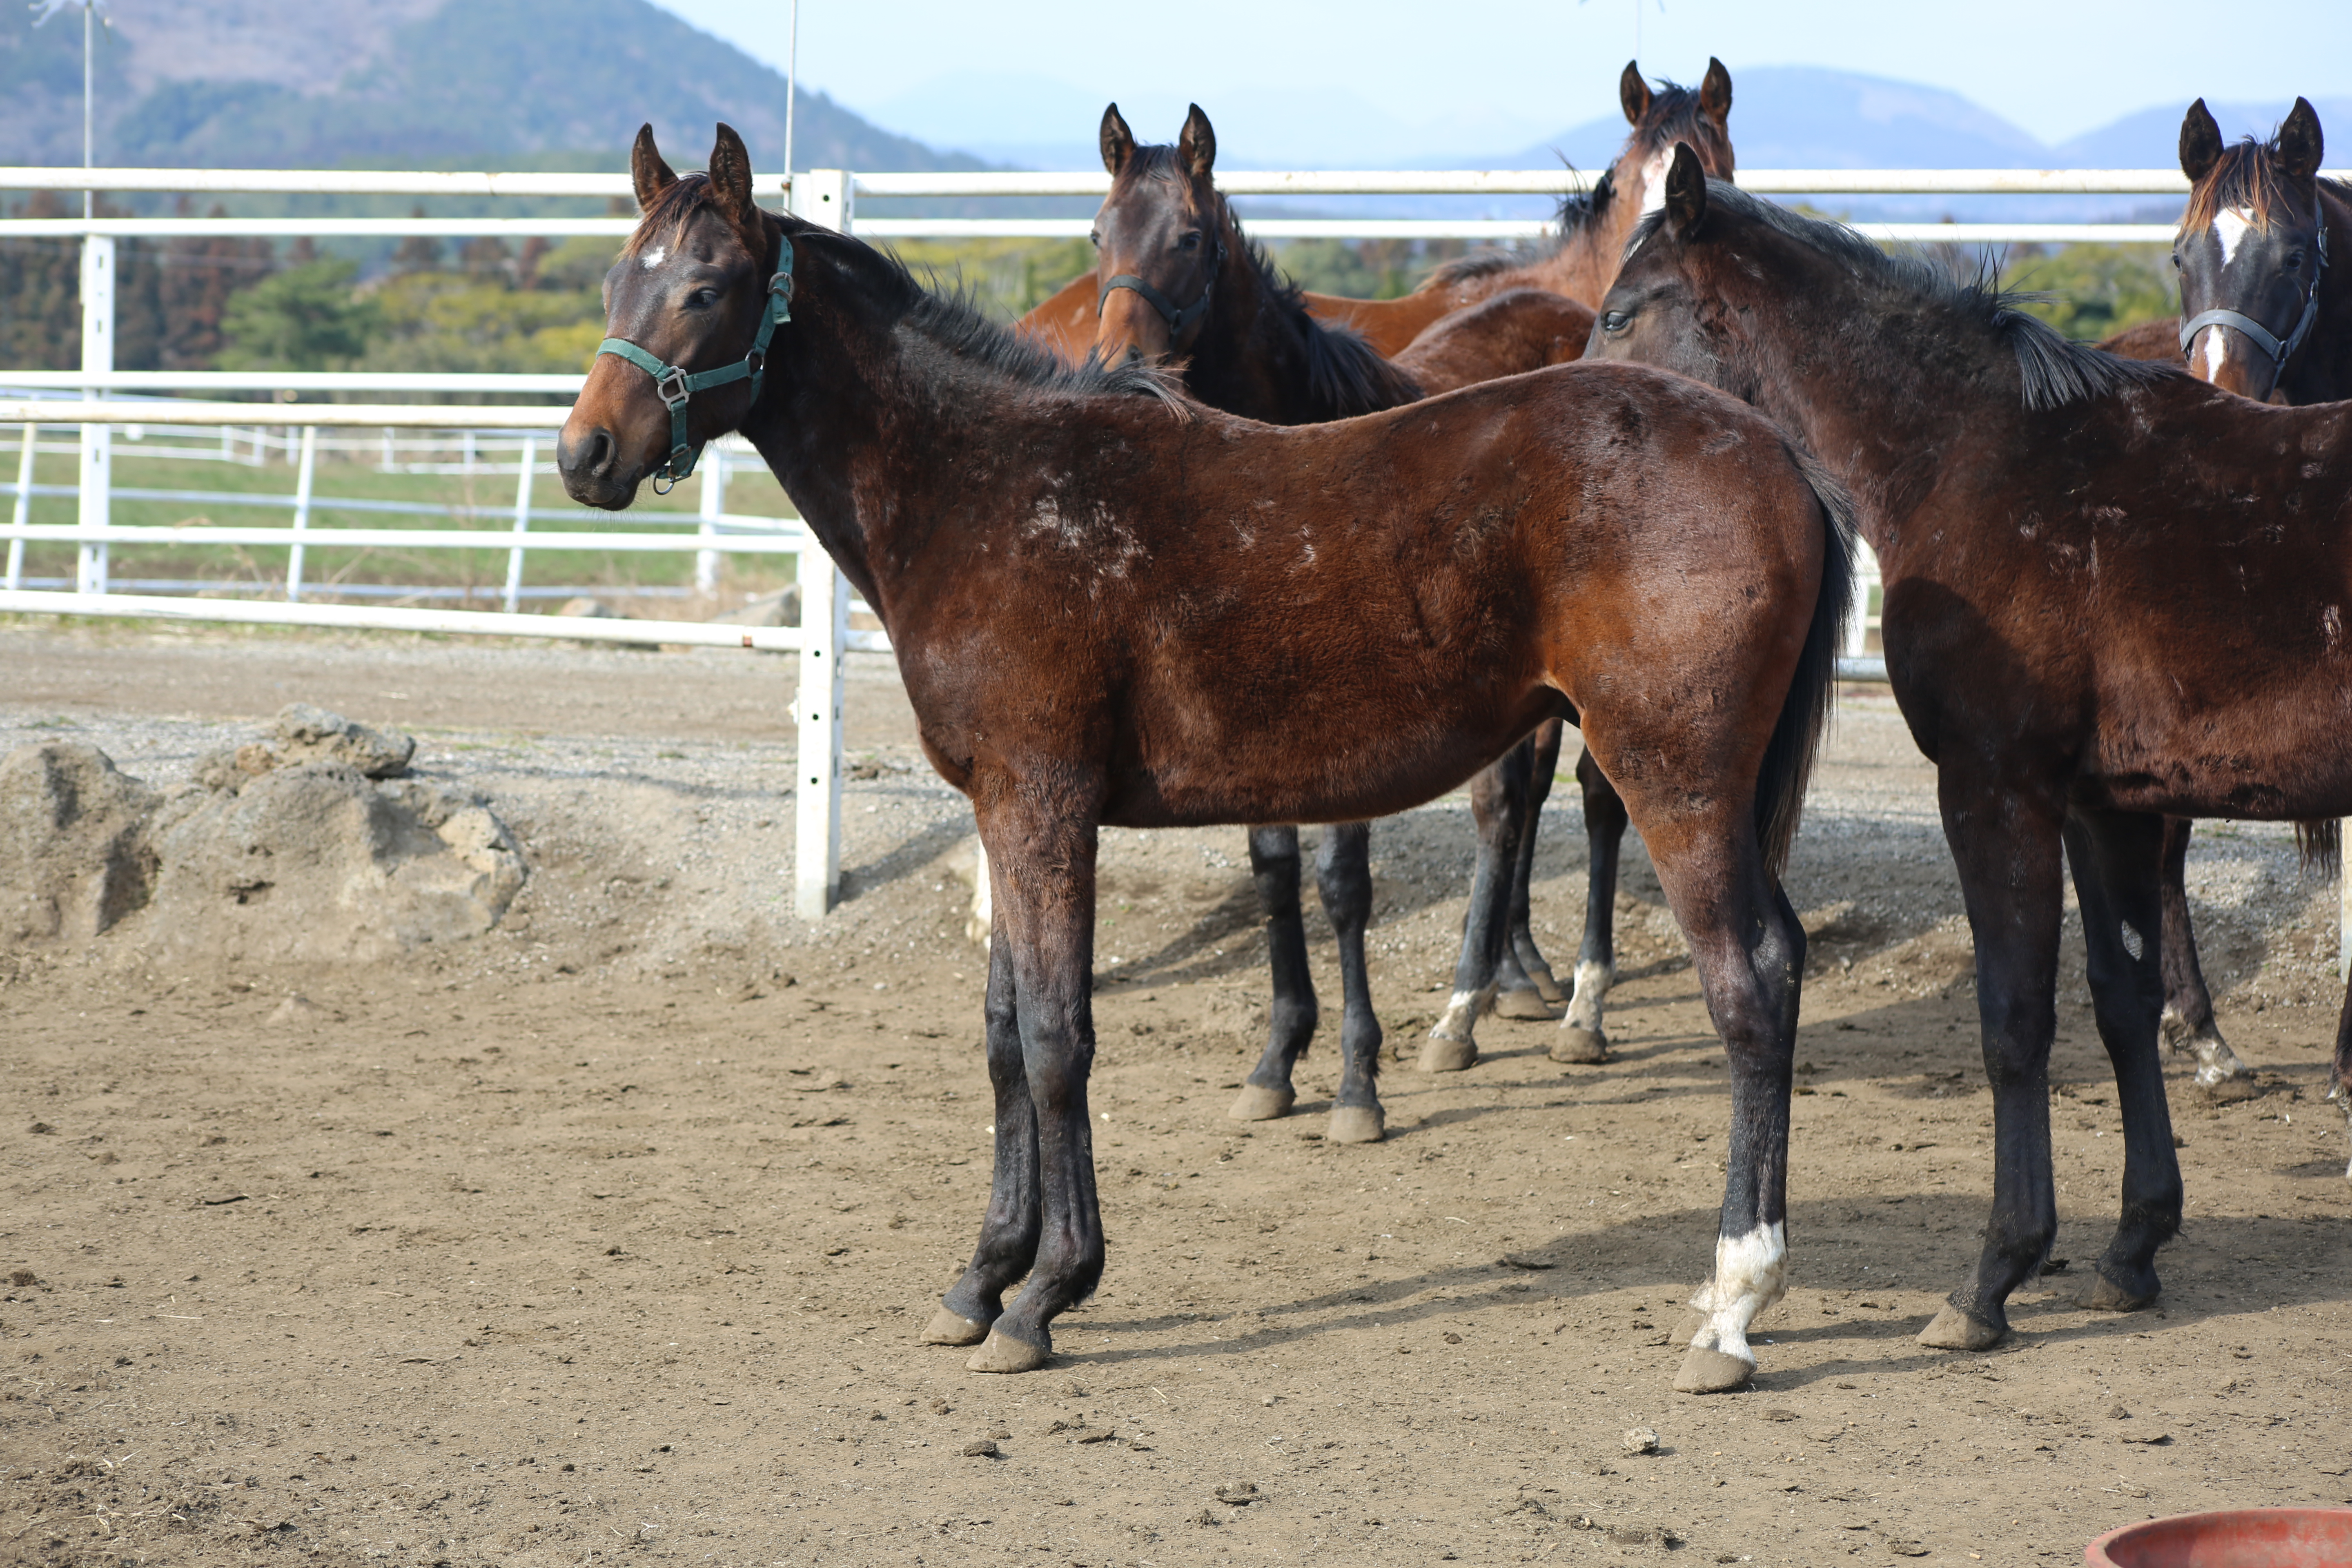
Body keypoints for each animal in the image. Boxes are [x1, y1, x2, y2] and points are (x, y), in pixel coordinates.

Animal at [564, 129, 1853, 1392]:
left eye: (707, 288)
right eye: (619, 279)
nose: (586, 454)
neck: (985, 488)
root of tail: (1778, 454)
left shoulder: (1043, 805)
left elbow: (1057, 1040)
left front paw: (1046, 1292)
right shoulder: (1002, 811)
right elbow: (1002, 1036)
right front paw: (980, 1278)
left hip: (1677, 784)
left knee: (1747, 985)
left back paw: (1733, 1306)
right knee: (1776, 958)